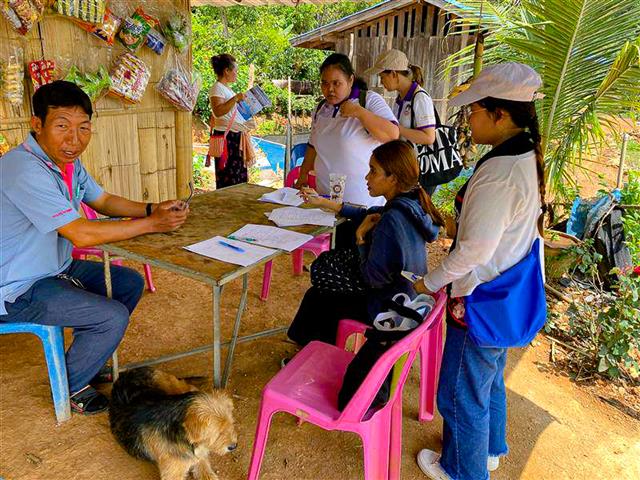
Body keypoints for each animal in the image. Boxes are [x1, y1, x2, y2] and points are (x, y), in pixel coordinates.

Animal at [110, 366, 238, 478]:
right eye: (218, 433)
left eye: (232, 424)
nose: (234, 446)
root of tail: (125, 373)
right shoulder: (173, 473)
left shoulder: (198, 454)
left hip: (175, 386)